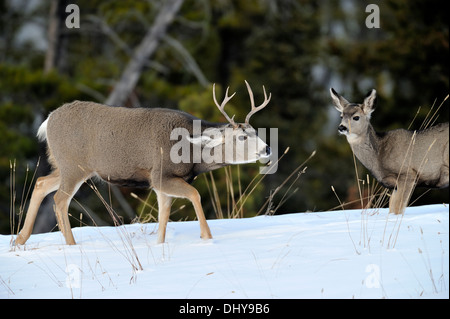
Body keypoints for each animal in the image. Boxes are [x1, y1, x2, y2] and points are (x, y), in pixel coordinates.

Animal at [15, 82, 270, 245]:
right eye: (242, 137)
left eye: (256, 131)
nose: (267, 149)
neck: (191, 153)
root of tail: (48, 120)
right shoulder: (159, 175)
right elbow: (195, 195)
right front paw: (207, 238)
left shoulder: (161, 184)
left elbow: (164, 216)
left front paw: (160, 246)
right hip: (73, 165)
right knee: (59, 200)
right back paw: (70, 244)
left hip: (64, 166)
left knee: (41, 183)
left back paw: (19, 240)